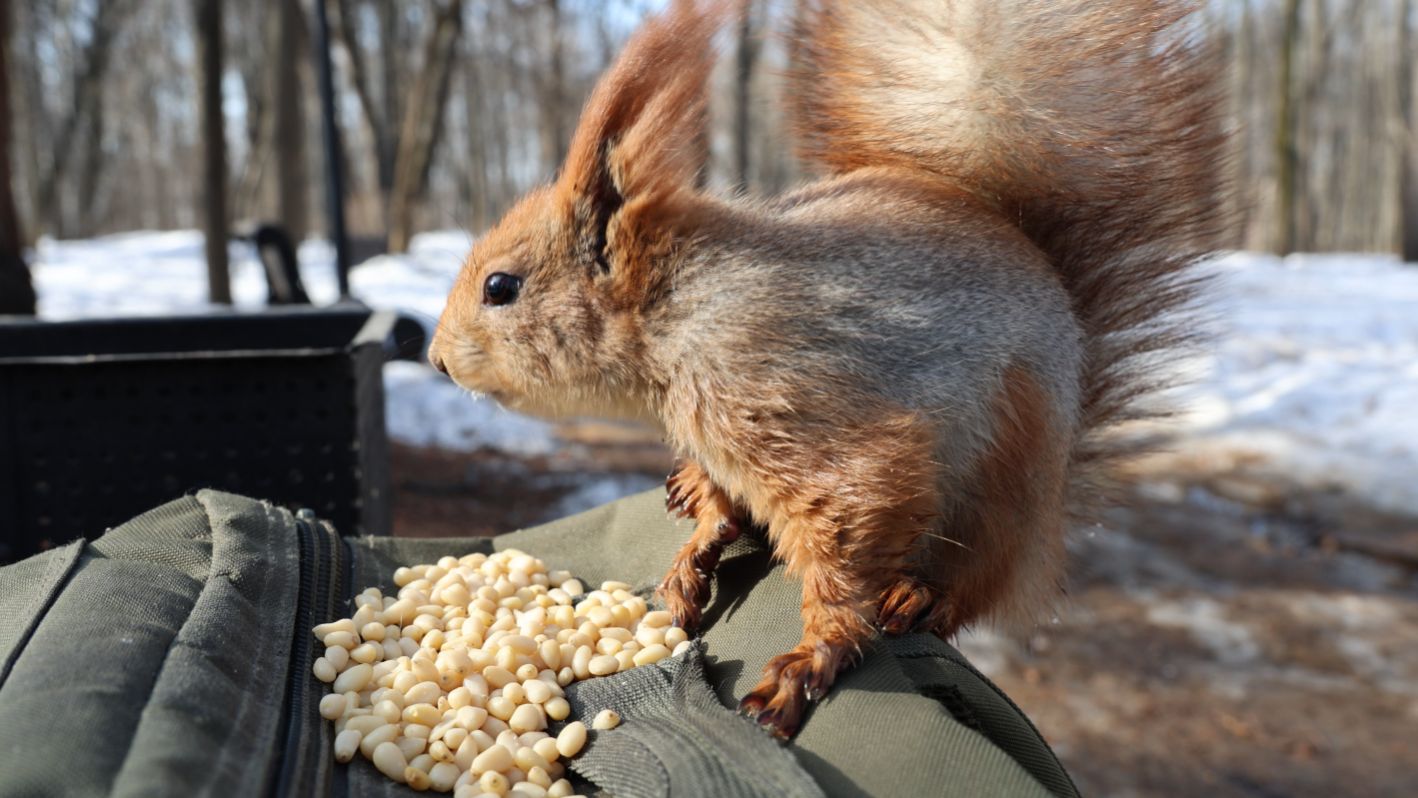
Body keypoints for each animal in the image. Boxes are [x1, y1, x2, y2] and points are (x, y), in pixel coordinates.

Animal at [429, 0, 1226, 738]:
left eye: (500, 287)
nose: (435, 358)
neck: (680, 312)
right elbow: (726, 510)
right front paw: (692, 557)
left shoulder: (788, 398)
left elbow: (852, 522)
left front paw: (812, 657)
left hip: (1005, 476)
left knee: (977, 580)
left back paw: (921, 596)